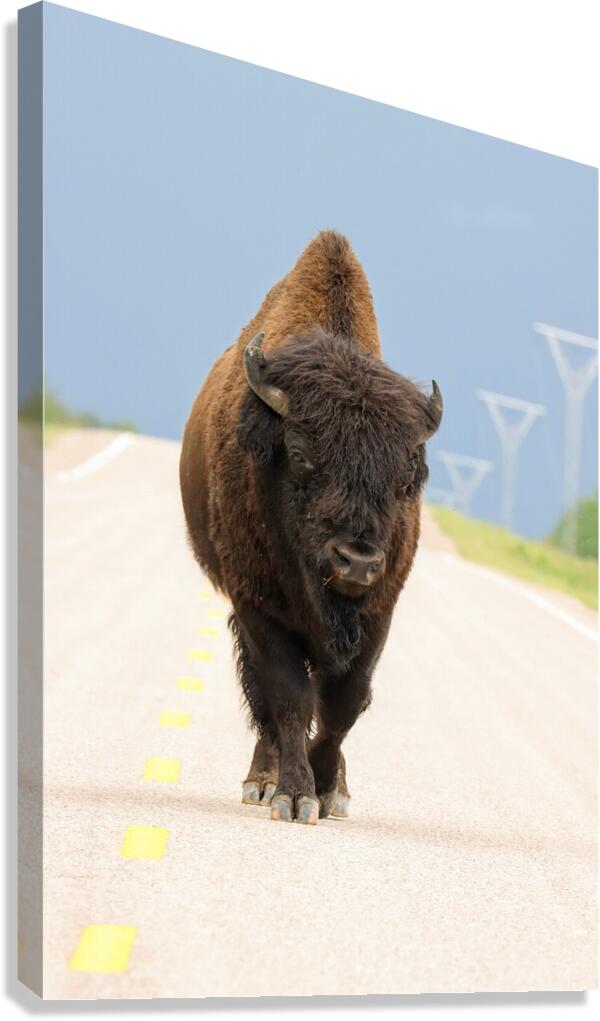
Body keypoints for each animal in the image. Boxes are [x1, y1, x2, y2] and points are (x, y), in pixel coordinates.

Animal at [180, 231, 442, 825]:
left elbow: (343, 704)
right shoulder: (259, 608)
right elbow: (291, 700)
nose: (357, 561)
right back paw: (262, 781)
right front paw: (294, 796)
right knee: (265, 703)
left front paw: (328, 789)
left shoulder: (377, 614)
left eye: (405, 477)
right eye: (299, 454)